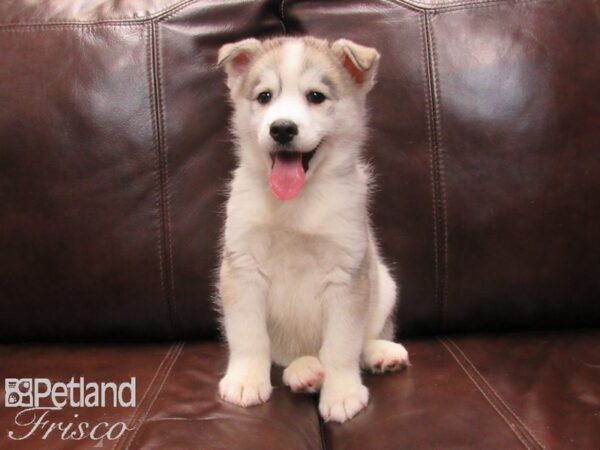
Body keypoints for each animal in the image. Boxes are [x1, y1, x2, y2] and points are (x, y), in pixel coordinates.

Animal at [214, 37, 408, 424]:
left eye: (316, 96)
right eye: (264, 96)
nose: (282, 129)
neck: (295, 205)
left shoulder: (347, 275)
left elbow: (341, 346)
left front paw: (343, 392)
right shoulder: (243, 268)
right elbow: (248, 336)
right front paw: (246, 380)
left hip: (384, 284)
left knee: (362, 341)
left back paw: (380, 353)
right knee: (291, 359)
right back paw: (305, 373)